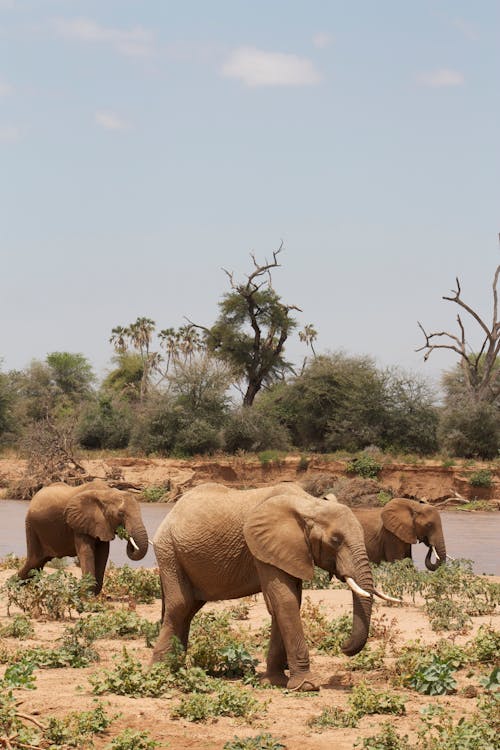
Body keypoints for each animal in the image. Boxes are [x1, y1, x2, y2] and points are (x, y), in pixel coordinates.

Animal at [18, 482, 150, 592]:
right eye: (120, 514)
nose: (127, 535)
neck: (106, 493)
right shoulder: (79, 522)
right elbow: (87, 552)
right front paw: (86, 595)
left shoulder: (101, 524)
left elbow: (103, 554)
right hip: (31, 526)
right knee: (34, 561)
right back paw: (16, 586)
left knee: (37, 564)